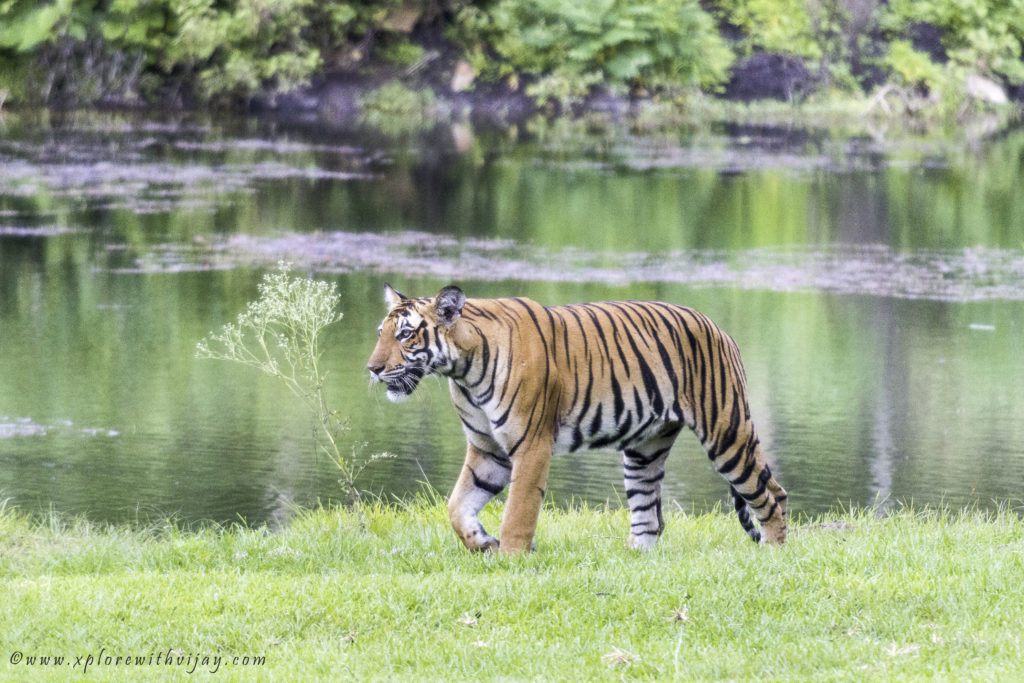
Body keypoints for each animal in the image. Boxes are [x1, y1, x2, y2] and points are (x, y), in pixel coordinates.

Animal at [364, 284, 786, 557]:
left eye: (405, 335)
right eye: (381, 333)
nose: (372, 368)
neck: (462, 370)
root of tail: (719, 329)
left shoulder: (531, 445)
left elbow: (518, 510)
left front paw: (510, 558)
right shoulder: (488, 450)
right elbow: (457, 506)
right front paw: (482, 544)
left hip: (725, 432)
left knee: (770, 493)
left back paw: (774, 550)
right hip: (644, 450)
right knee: (649, 516)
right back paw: (634, 557)